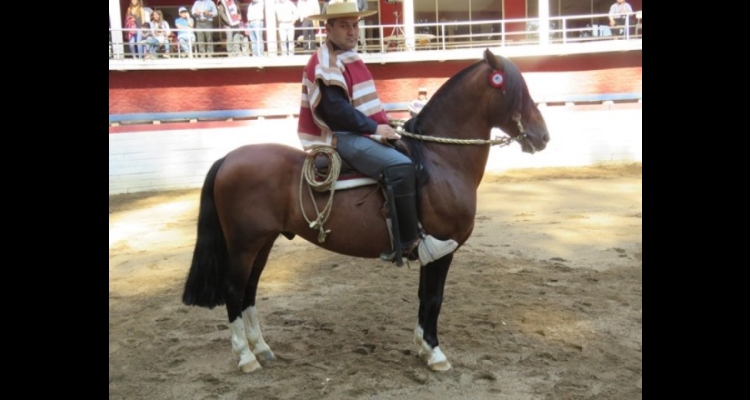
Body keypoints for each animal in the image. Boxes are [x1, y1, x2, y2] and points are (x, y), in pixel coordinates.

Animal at [179, 48, 548, 374]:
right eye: (515, 89)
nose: (542, 136)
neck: (438, 160)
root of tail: (228, 158)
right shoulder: (443, 246)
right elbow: (434, 298)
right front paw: (435, 353)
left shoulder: (431, 250)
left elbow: (424, 297)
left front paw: (422, 346)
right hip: (245, 244)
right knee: (233, 290)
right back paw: (245, 357)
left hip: (262, 242)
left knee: (249, 291)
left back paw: (262, 349)